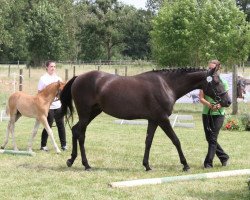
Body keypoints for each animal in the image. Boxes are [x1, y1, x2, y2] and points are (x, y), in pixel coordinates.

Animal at [60, 66, 230, 171]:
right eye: (216, 81)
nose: (227, 101)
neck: (166, 85)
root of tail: (78, 77)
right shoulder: (163, 119)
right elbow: (176, 140)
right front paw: (185, 165)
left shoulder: (153, 120)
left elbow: (148, 141)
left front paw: (147, 165)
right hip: (85, 114)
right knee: (80, 134)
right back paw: (85, 164)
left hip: (93, 113)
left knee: (76, 131)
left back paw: (72, 160)